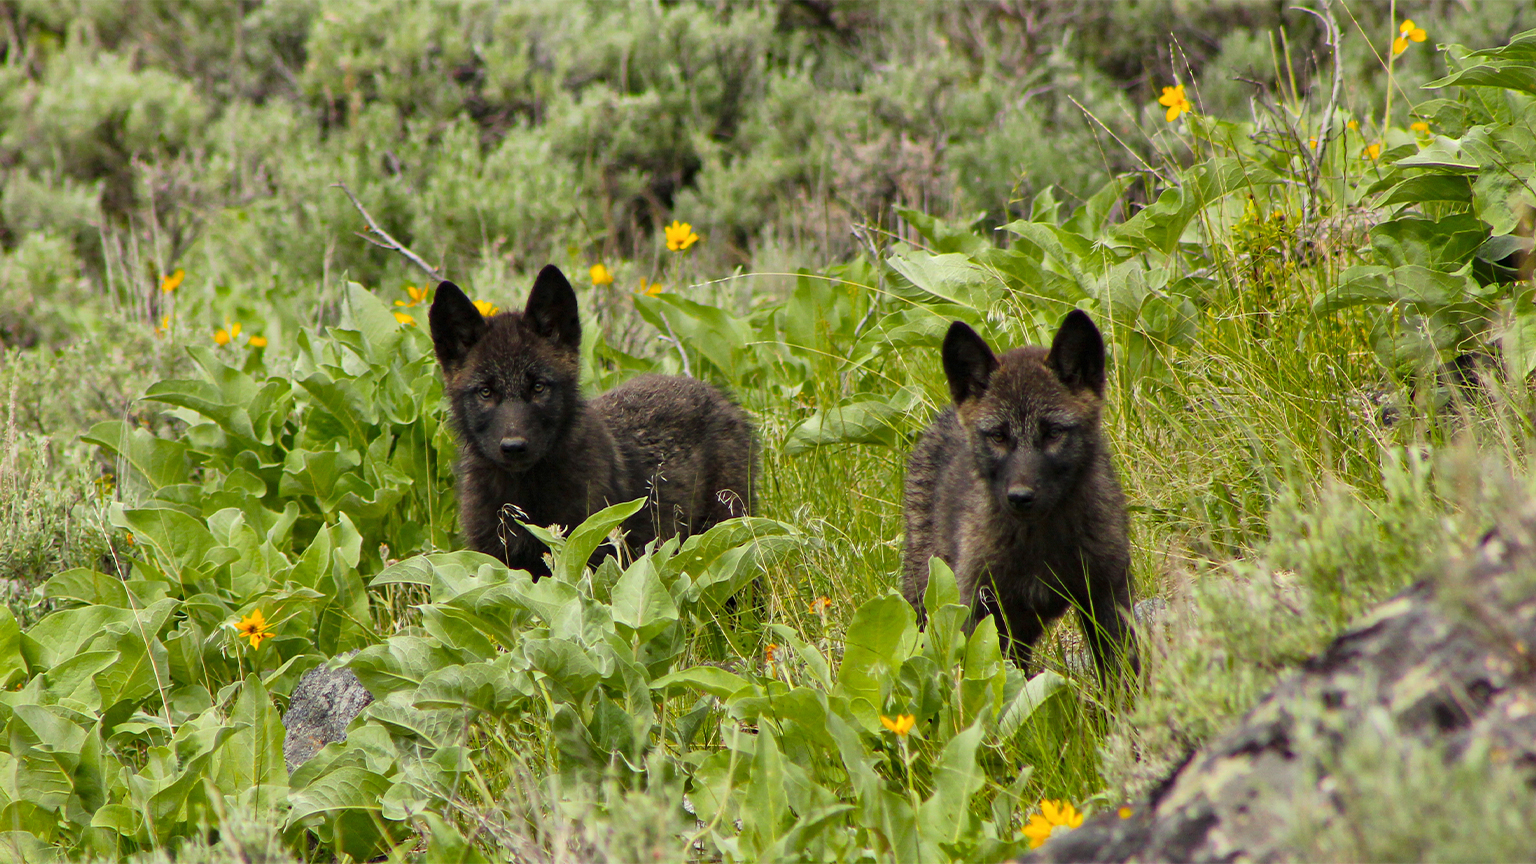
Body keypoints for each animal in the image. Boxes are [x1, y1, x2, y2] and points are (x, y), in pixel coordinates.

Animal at [429, 265, 755, 577]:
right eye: (485, 392)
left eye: (539, 387)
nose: (513, 447)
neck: (525, 494)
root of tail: (720, 395)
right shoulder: (495, 560)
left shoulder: (591, 553)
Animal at [901, 310, 1138, 682]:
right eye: (998, 436)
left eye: (1053, 432)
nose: (1020, 497)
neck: (1040, 544)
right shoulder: (979, 606)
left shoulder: (1106, 592)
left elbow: (1122, 675)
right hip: (930, 600)